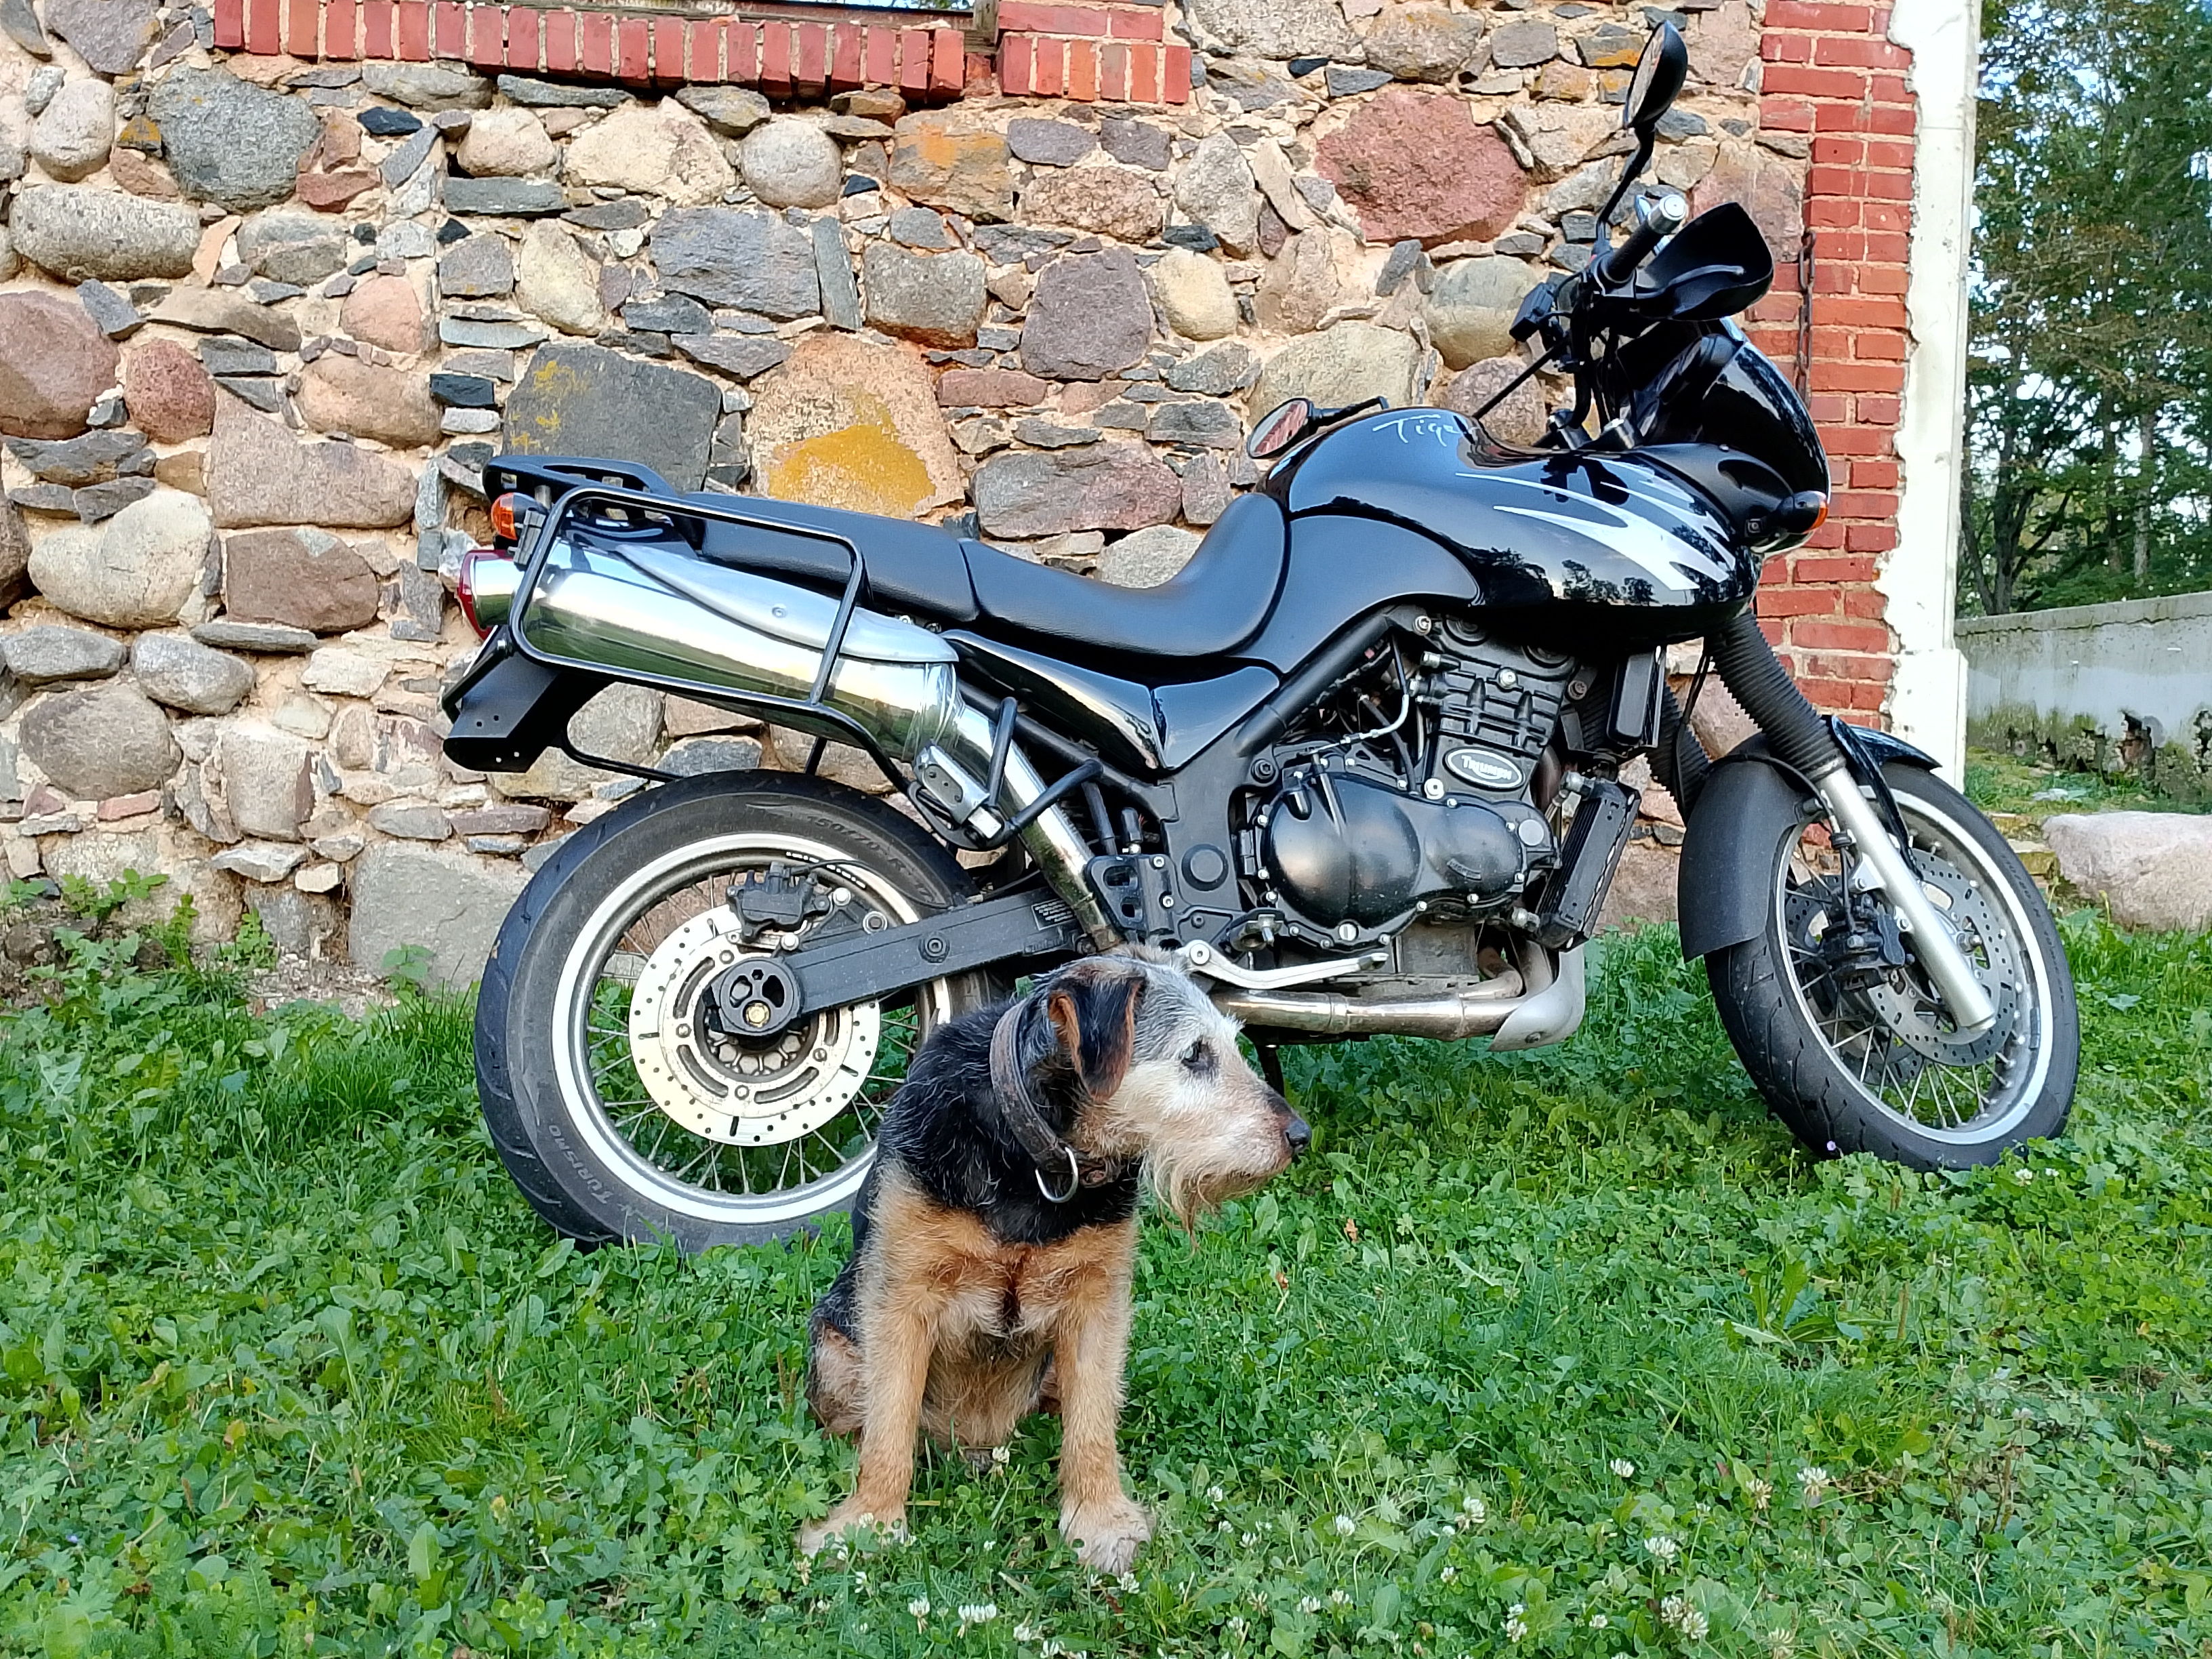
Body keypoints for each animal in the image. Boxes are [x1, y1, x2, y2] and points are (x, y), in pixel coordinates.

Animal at [798, 947, 1309, 1572]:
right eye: (1194, 1054)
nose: (1300, 1135)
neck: (1036, 1157)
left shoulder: (1097, 1303)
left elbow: (1092, 1426)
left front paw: (1099, 1521)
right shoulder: (901, 1299)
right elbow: (889, 1425)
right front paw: (869, 1524)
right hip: (833, 1350)